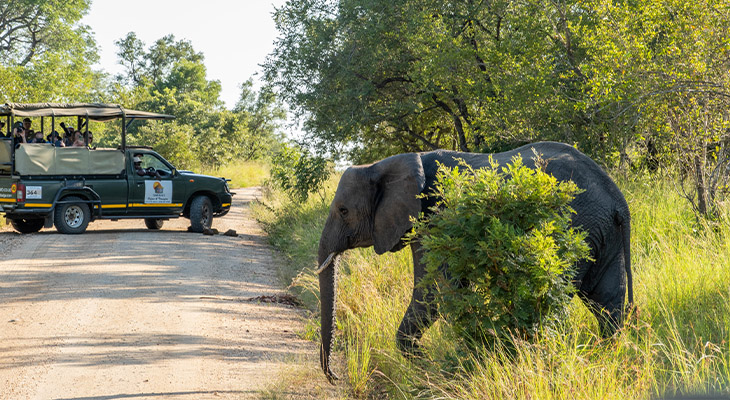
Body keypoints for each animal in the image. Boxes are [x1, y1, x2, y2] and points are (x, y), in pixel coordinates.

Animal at [316, 141, 628, 382]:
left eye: (343, 211)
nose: (334, 377)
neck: (386, 164)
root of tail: (617, 199)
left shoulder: (436, 218)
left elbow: (435, 292)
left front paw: (430, 367)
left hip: (574, 227)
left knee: (556, 297)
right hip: (600, 233)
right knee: (607, 299)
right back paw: (607, 358)